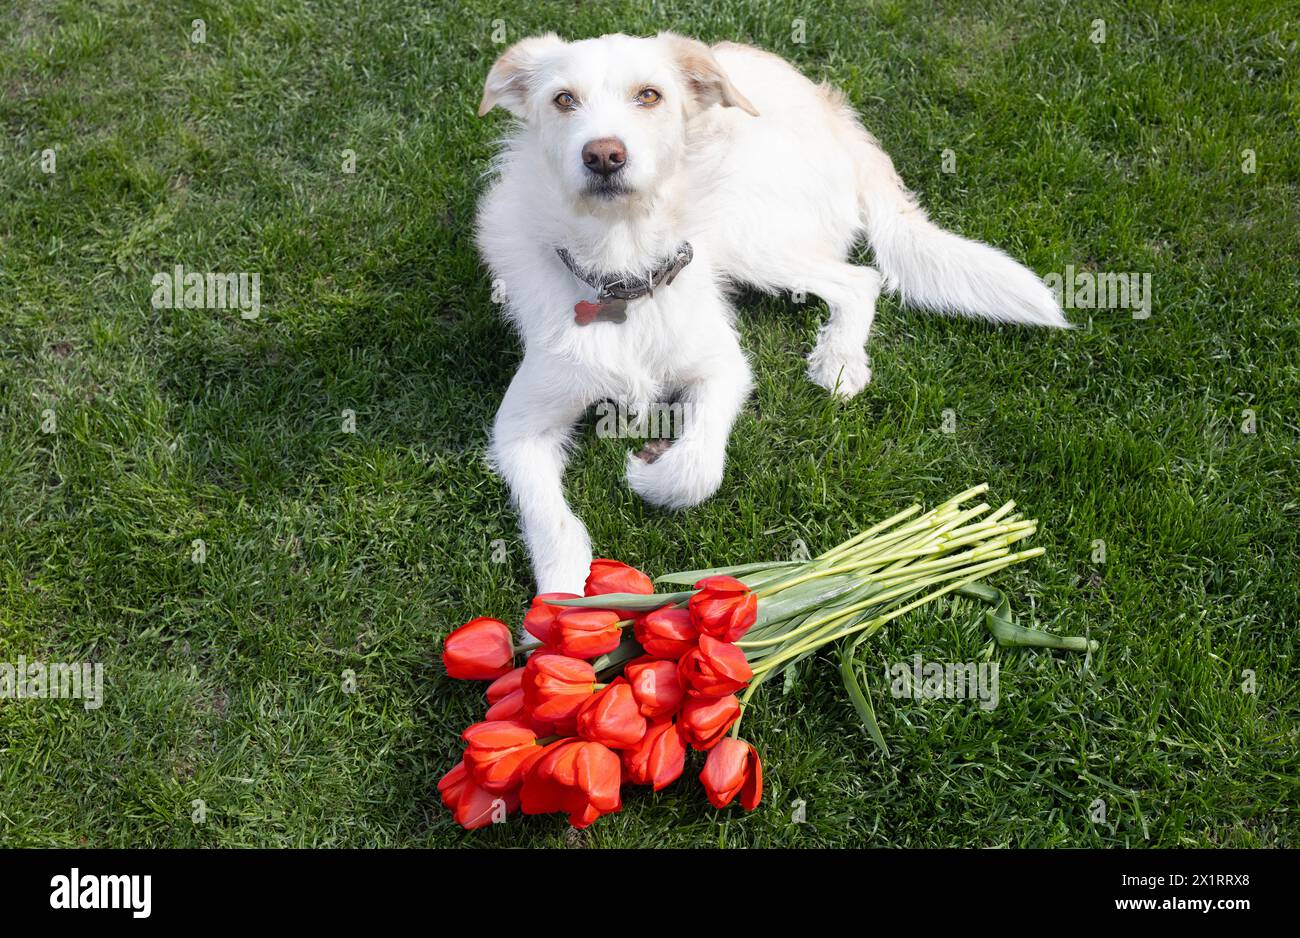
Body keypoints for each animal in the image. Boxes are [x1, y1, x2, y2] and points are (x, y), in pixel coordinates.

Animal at [478, 36, 1066, 595]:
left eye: (650, 95)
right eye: (563, 99)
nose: (603, 155)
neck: (621, 273)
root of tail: (829, 107)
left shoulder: (724, 368)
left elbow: (698, 469)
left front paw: (650, 474)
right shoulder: (519, 427)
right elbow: (551, 520)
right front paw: (561, 604)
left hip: (745, 233)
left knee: (860, 280)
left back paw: (840, 358)